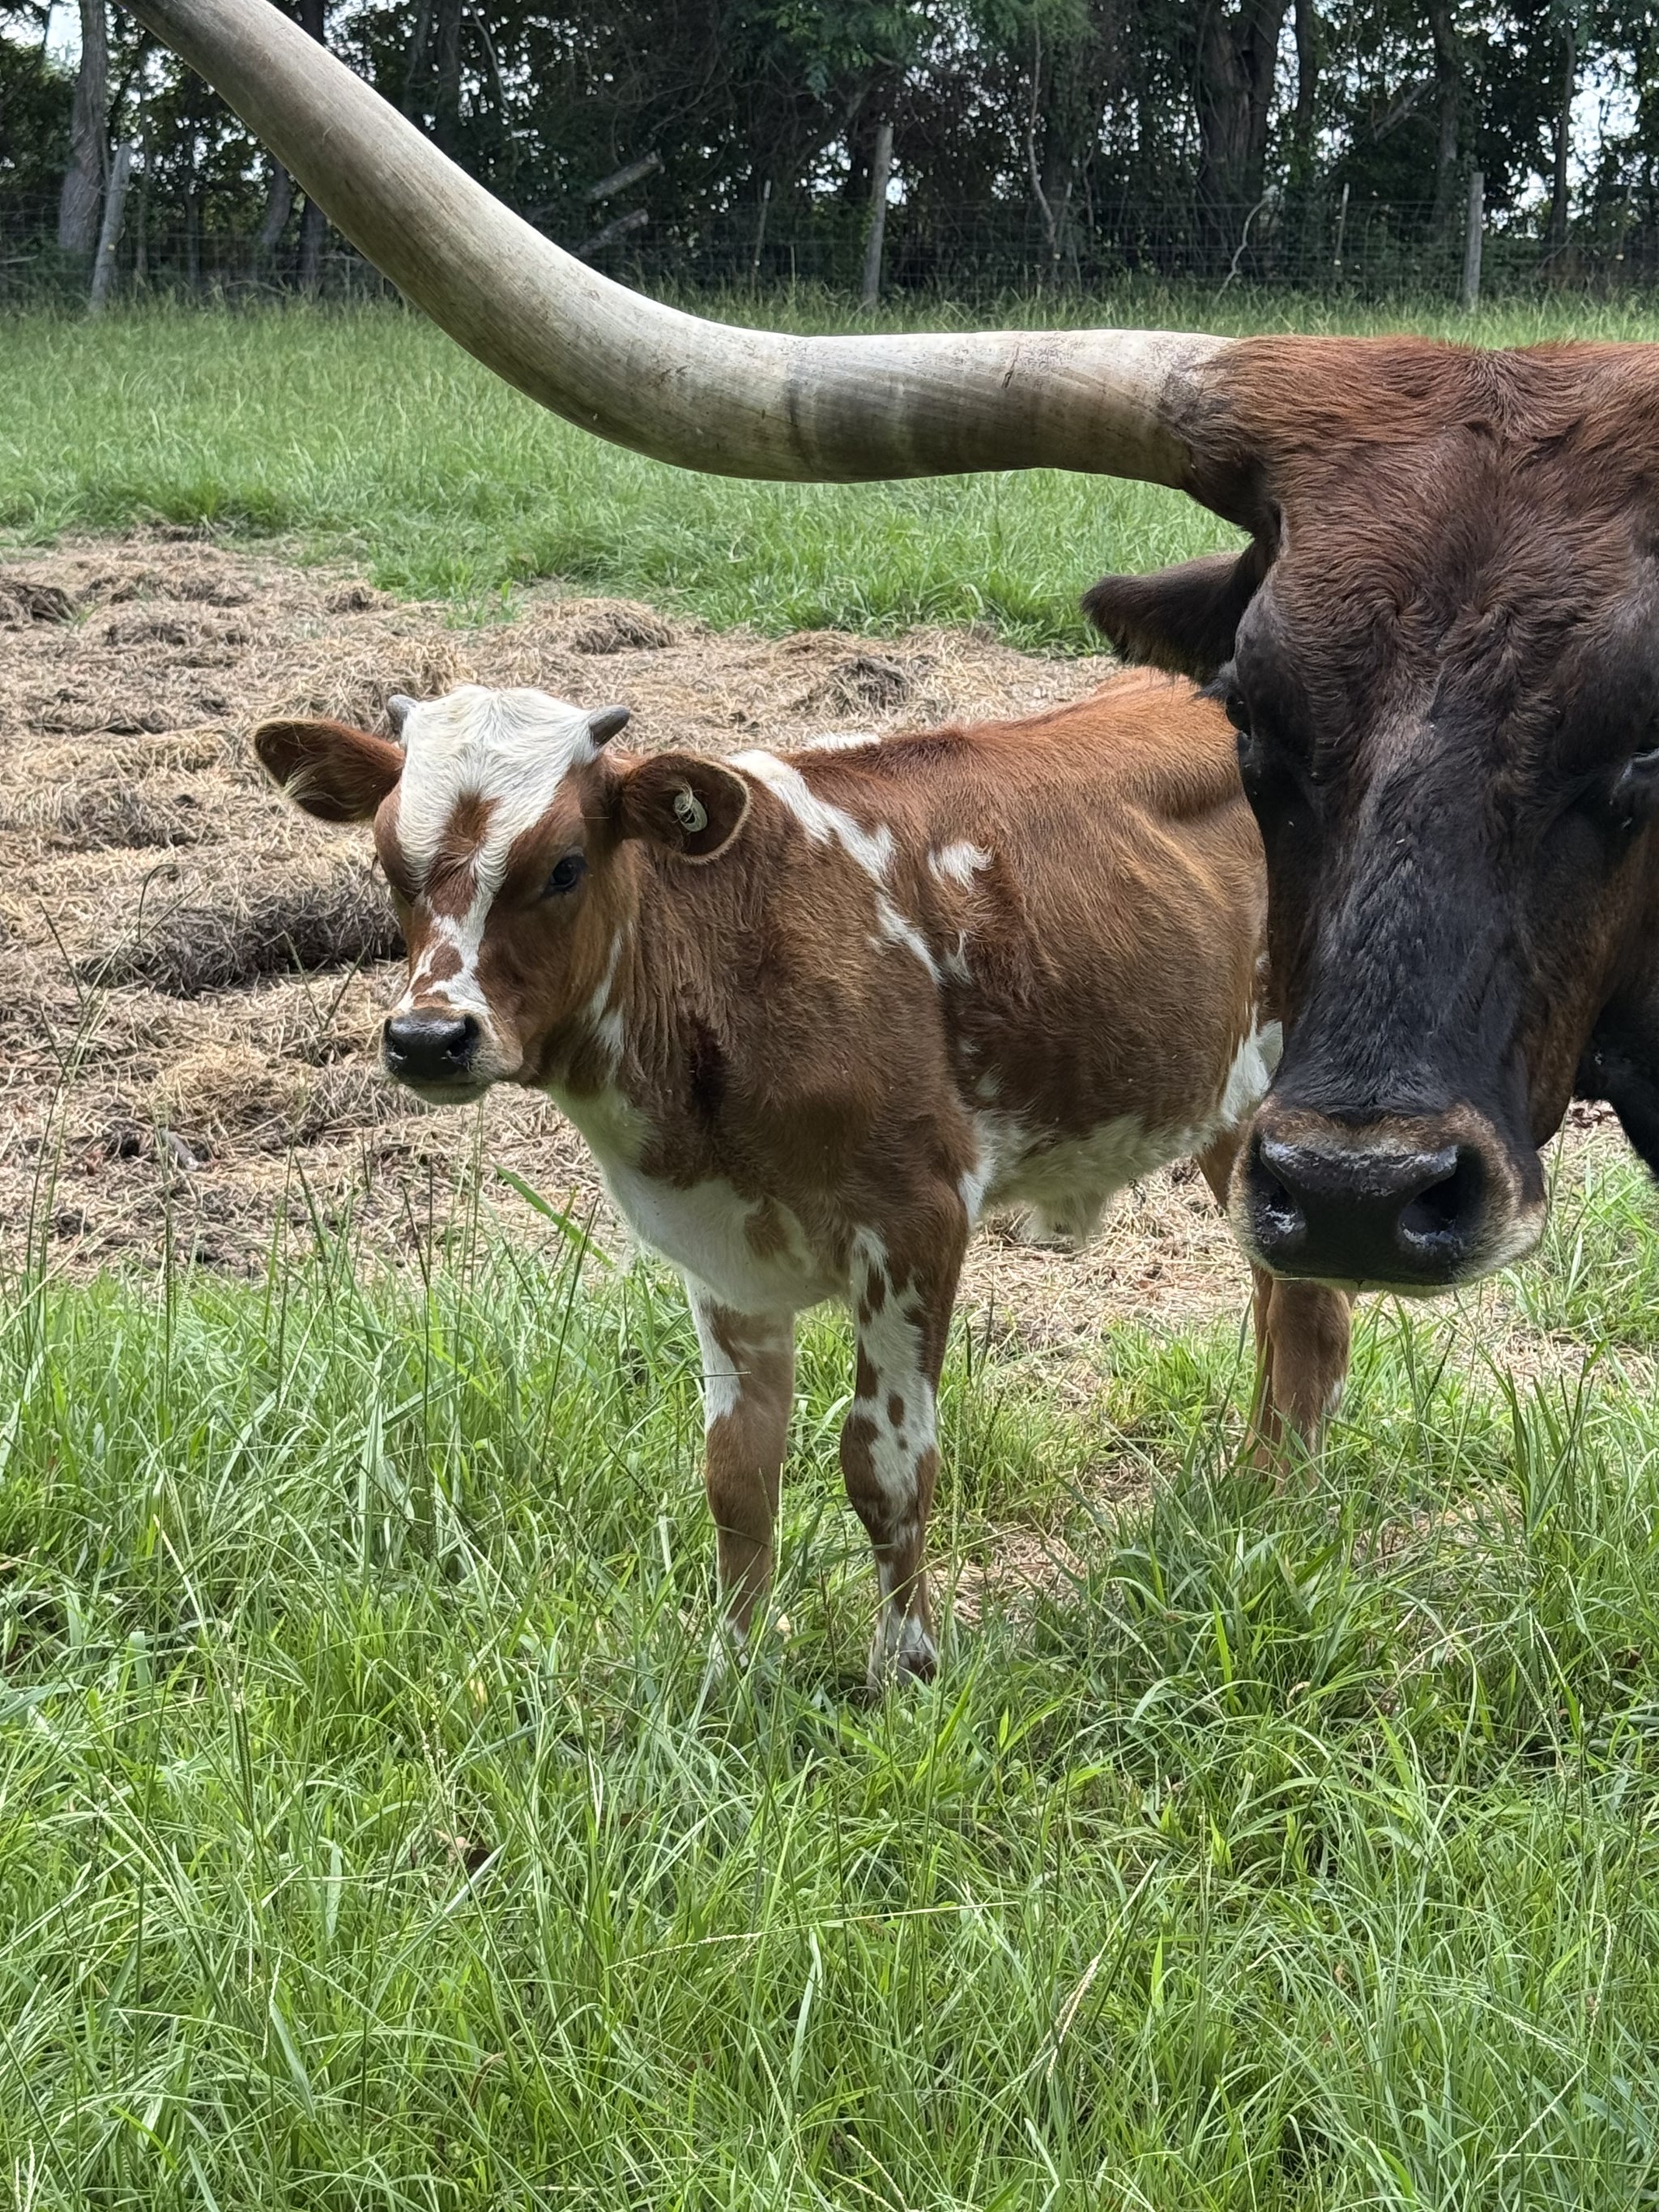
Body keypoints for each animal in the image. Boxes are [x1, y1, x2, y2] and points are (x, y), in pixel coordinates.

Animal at [254, 676, 1352, 1686]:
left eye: (563, 866)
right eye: (389, 865)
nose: (427, 1038)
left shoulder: (914, 1221)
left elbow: (886, 1466)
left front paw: (905, 1668)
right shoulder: (720, 1255)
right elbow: (736, 1476)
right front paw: (731, 1672)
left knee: (1306, 1316)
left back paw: (1278, 1514)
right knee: (1283, 1302)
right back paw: (1249, 1488)